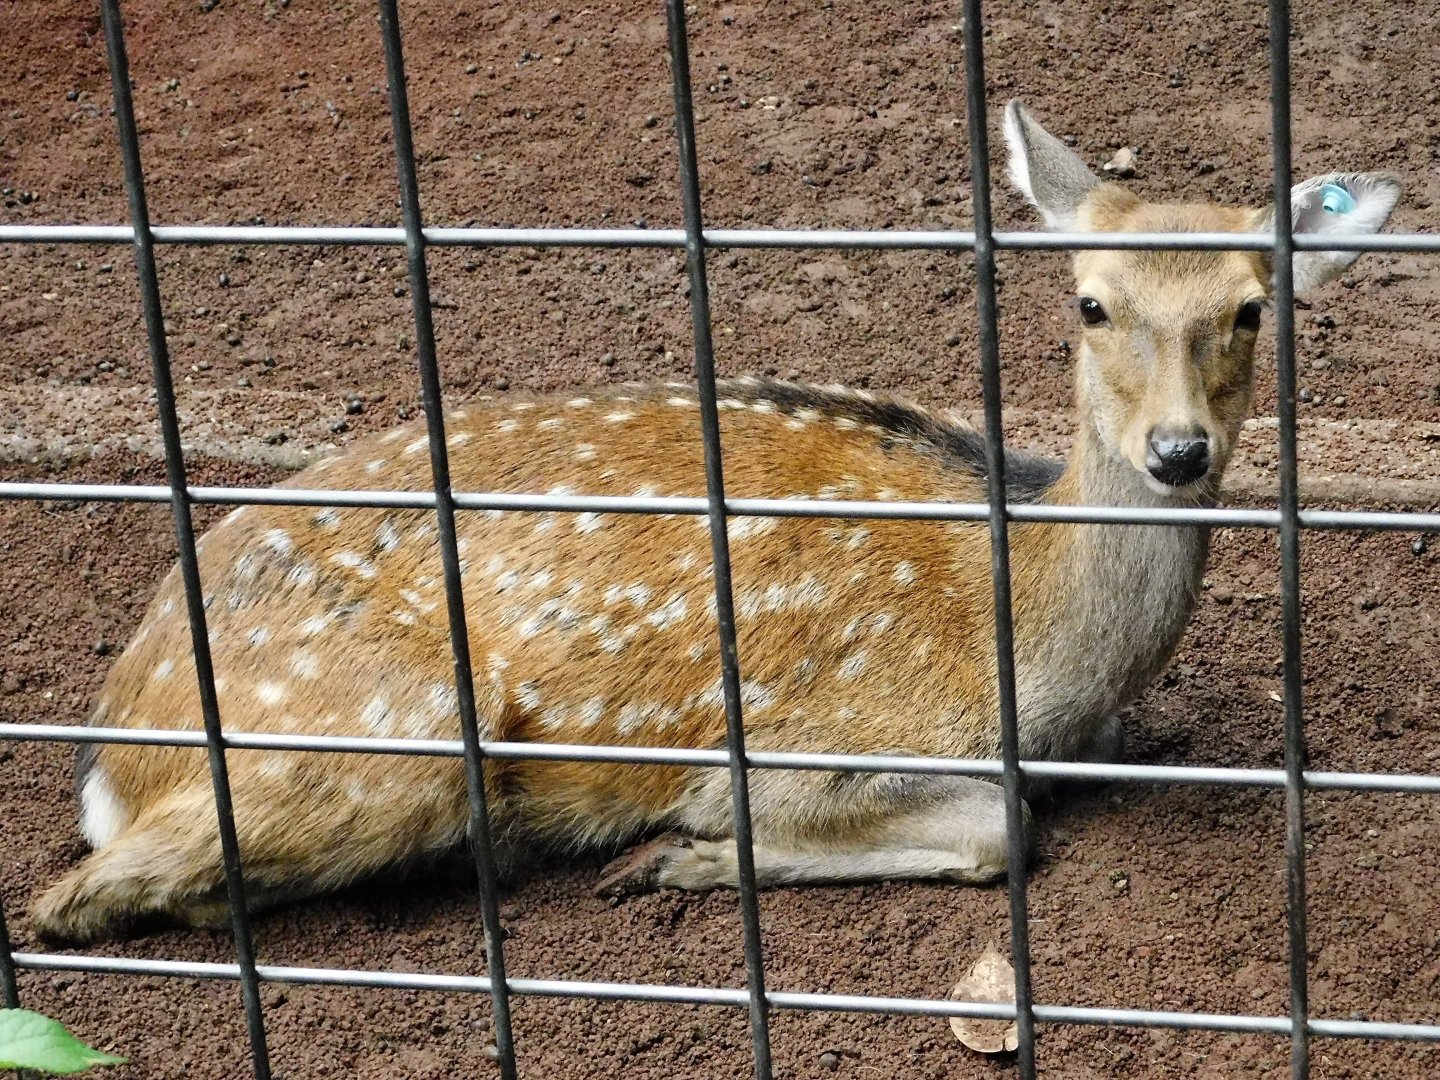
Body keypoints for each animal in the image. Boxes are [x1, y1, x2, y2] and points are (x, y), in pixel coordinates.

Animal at [31, 101, 1401, 942]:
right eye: (1091, 304)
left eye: (1251, 309)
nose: (1178, 451)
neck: (1038, 648)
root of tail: (112, 747)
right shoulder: (824, 733)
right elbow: (995, 827)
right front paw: (690, 844)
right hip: (385, 732)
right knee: (76, 898)